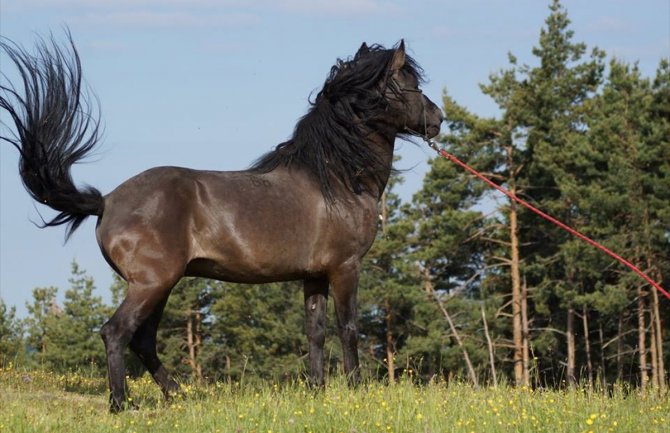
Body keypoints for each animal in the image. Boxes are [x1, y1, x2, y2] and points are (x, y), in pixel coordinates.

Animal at [1, 32, 446, 410]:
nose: (438, 118)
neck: (335, 179)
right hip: (152, 283)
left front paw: (317, 391)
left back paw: (178, 395)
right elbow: (348, 328)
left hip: (160, 286)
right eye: (408, 81)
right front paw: (355, 389)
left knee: (143, 340)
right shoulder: (345, 268)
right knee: (117, 333)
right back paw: (122, 404)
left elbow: (316, 332)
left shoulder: (314, 276)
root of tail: (107, 201)